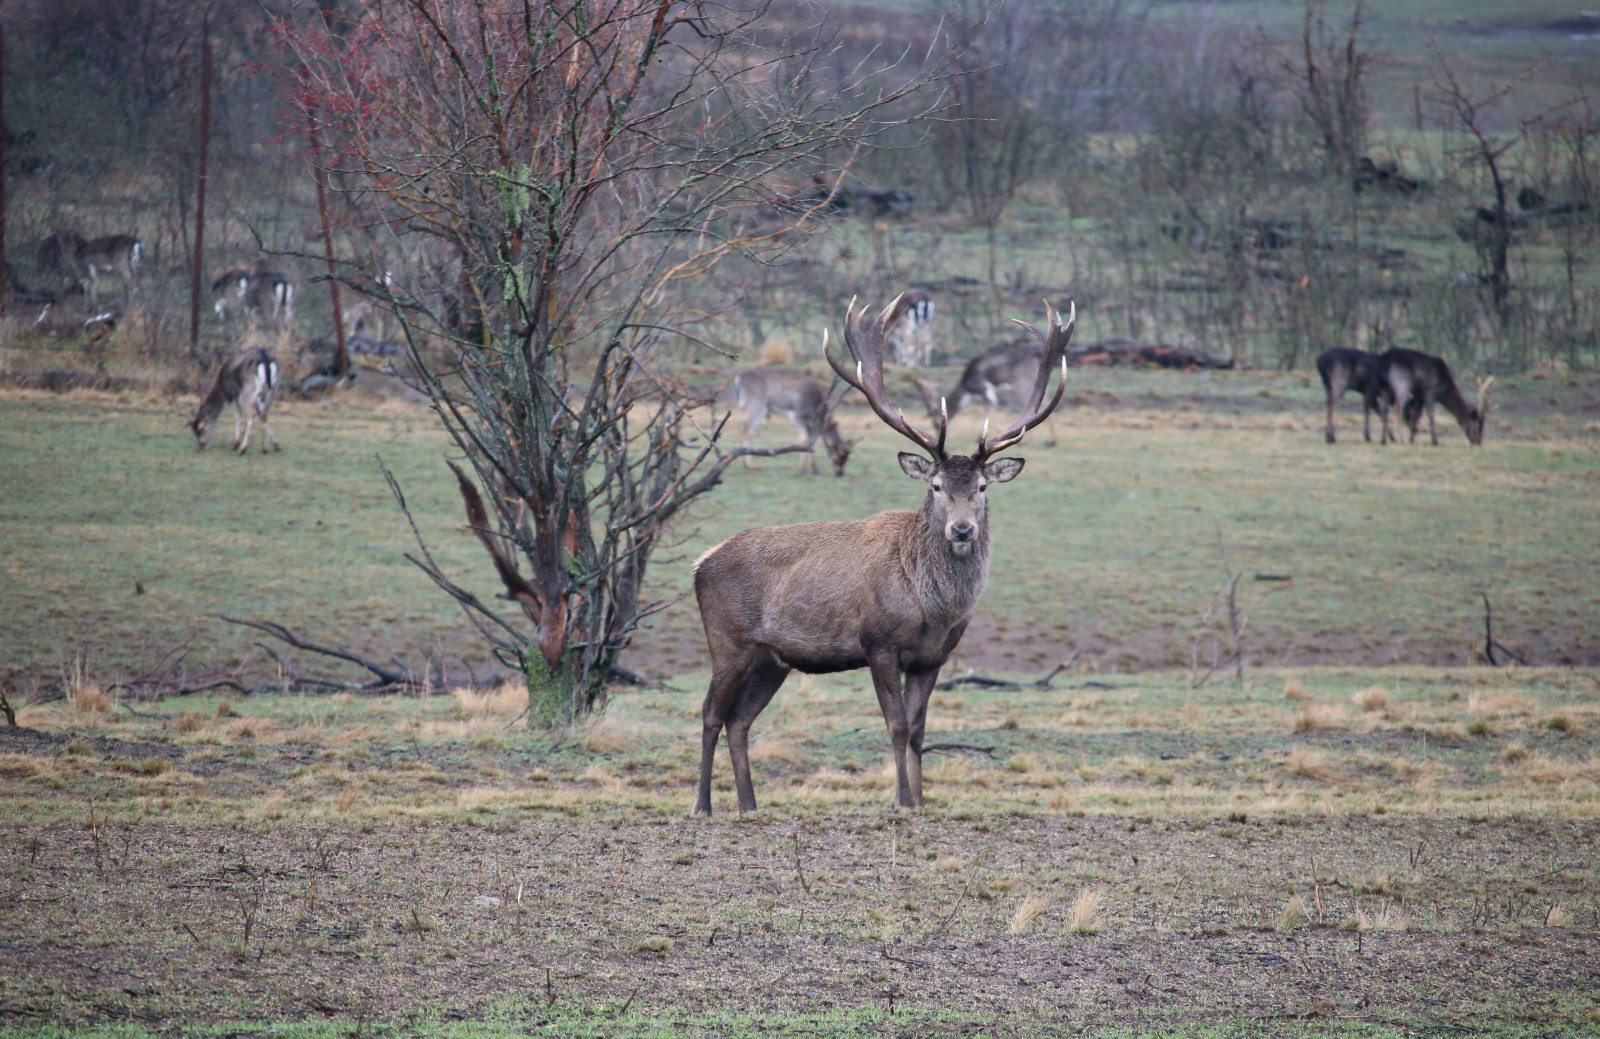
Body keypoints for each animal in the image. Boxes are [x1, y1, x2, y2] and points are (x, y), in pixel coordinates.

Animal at [691, 296, 1075, 813]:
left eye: (982, 486)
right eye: (936, 486)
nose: (962, 529)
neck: (933, 609)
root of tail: (701, 563)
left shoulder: (934, 658)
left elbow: (918, 731)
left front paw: (922, 799)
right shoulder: (879, 643)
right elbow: (894, 724)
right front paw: (902, 799)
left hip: (774, 659)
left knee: (740, 719)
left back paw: (749, 805)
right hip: (727, 641)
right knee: (710, 713)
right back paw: (703, 805)